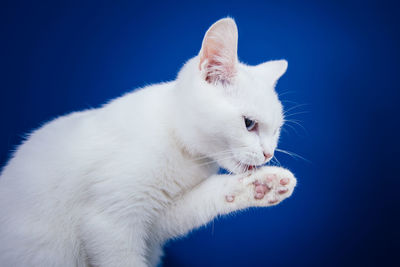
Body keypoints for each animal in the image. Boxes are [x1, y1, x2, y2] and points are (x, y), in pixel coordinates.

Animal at [0, 17, 296, 266]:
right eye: (249, 124)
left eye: (276, 131)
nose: (269, 154)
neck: (184, 154)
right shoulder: (110, 223)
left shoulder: (153, 223)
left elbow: (205, 200)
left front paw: (264, 185)